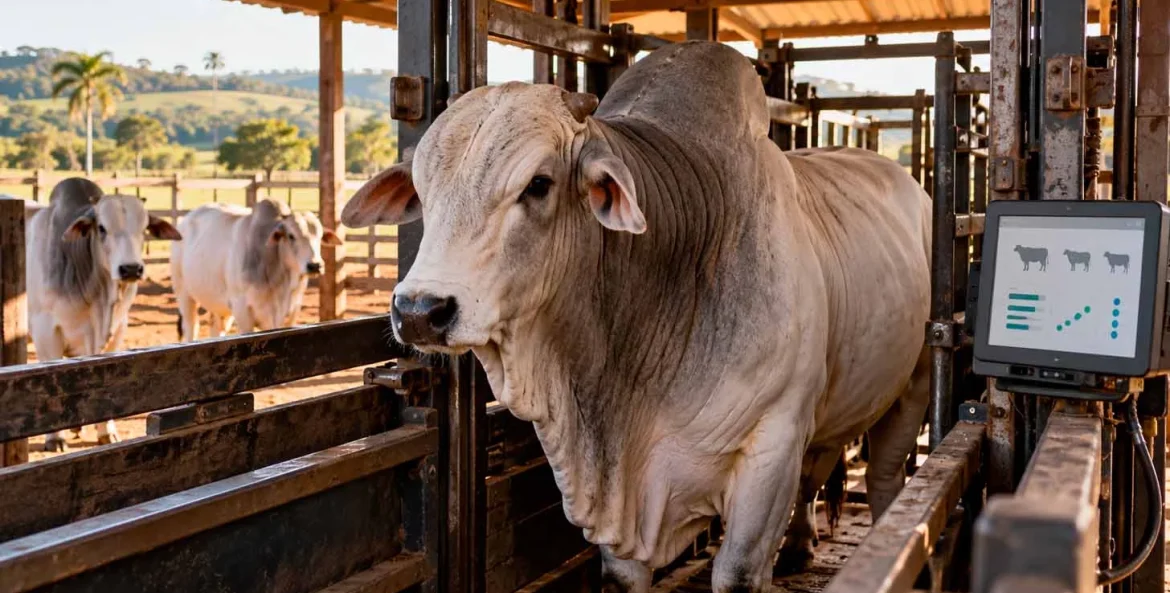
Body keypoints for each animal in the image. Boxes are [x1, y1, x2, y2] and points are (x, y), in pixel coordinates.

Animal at [27, 178, 182, 451]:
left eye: (144, 228)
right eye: (101, 228)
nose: (130, 269)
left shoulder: (118, 328)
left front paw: (105, 432)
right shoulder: (44, 329)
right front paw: (55, 438)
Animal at [170, 199, 342, 340]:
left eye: (320, 237)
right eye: (291, 235)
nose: (315, 265)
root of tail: (185, 220)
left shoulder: (291, 312)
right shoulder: (242, 311)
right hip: (184, 295)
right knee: (191, 327)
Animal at [341, 42, 931, 593]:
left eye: (538, 183)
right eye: (422, 191)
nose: (420, 310)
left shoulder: (773, 445)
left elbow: (739, 570)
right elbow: (625, 574)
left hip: (909, 390)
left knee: (886, 484)